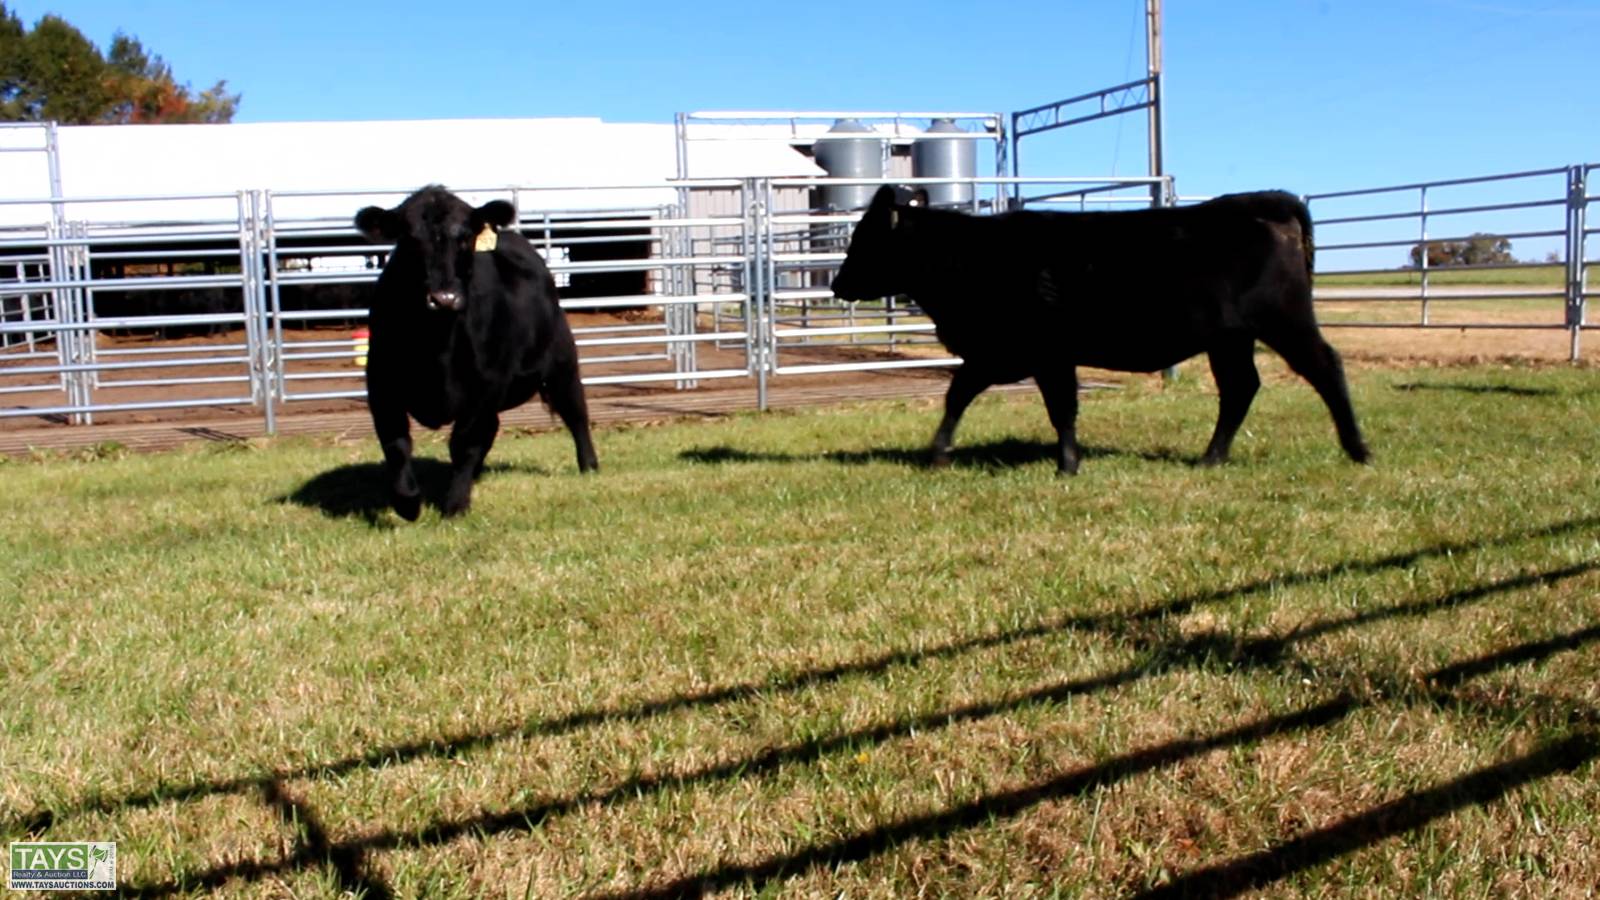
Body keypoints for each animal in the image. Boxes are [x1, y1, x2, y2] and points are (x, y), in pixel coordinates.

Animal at [354, 186, 597, 520]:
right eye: (409, 237)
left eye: (466, 236)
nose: (444, 298)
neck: (437, 346)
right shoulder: (381, 385)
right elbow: (396, 443)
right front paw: (408, 502)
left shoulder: (486, 385)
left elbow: (464, 442)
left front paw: (455, 504)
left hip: (562, 363)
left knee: (576, 414)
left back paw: (589, 467)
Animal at [830, 185, 1370, 475]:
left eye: (864, 238)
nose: (836, 283)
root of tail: (1262, 200)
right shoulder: (996, 353)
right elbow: (958, 395)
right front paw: (938, 452)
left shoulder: (1046, 353)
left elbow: (1061, 409)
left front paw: (1067, 465)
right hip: (1229, 339)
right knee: (1240, 389)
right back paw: (1211, 458)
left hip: (1284, 320)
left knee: (1325, 367)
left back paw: (1358, 449)